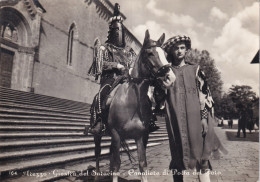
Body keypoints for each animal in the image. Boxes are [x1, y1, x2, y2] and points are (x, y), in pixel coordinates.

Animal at [90, 30, 176, 182]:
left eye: (165, 55)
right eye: (150, 53)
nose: (170, 78)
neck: (131, 103)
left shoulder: (141, 136)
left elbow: (142, 164)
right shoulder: (116, 134)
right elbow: (117, 164)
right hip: (98, 134)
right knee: (98, 153)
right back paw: (96, 176)